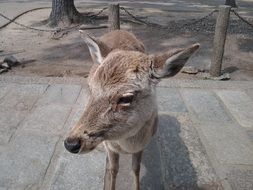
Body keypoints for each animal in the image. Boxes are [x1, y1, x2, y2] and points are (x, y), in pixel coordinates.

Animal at [63, 30, 200, 190]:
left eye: (126, 98)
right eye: (90, 88)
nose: (71, 143)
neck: (126, 147)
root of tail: (119, 30)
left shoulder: (141, 146)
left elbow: (136, 168)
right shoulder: (110, 146)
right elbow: (113, 169)